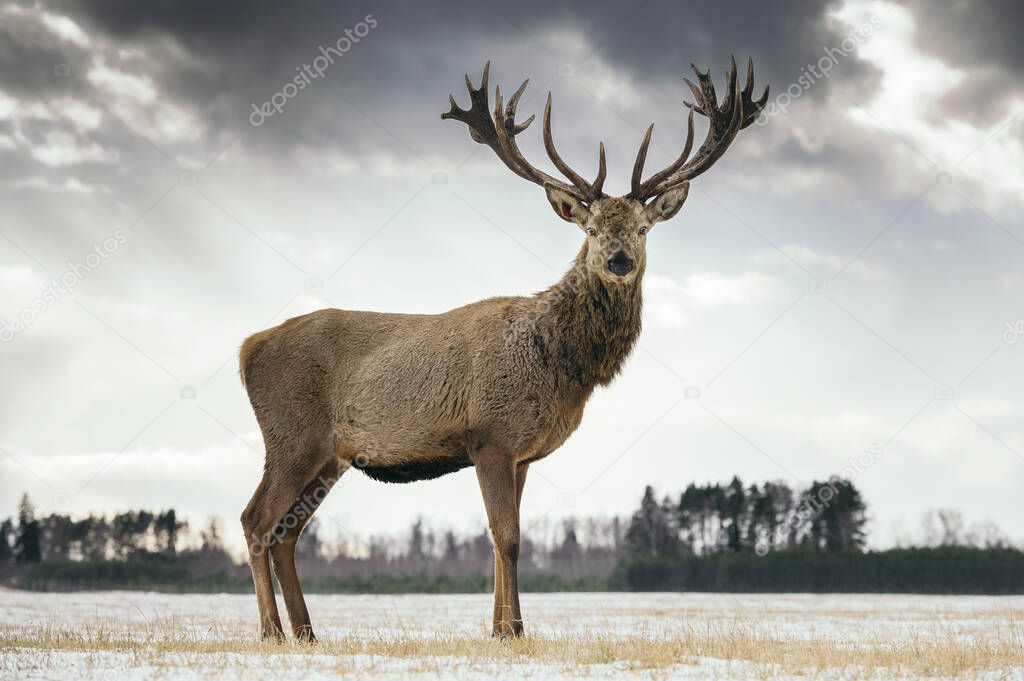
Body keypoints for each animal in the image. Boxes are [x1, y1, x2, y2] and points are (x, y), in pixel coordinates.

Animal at [241, 55, 770, 639]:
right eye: (590, 229)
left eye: (642, 228)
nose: (618, 261)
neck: (560, 366)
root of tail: (247, 348)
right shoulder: (490, 435)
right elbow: (507, 539)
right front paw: (513, 629)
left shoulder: (523, 453)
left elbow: (507, 540)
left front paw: (501, 627)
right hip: (292, 436)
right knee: (256, 520)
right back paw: (271, 630)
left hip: (329, 456)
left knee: (288, 531)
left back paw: (306, 633)